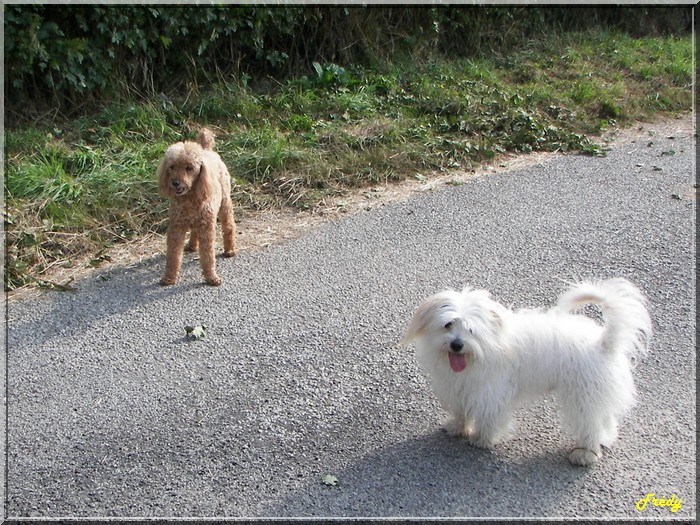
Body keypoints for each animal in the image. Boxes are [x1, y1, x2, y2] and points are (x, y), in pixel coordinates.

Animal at [402, 276, 652, 464]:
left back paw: (585, 454)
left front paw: (483, 439)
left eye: (471, 330)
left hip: (582, 396)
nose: (456, 344)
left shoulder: (491, 392)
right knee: (604, 419)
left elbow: (489, 416)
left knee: (589, 423)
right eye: (448, 324)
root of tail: (604, 343)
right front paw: (458, 426)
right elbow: (462, 410)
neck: (483, 349)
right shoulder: (460, 386)